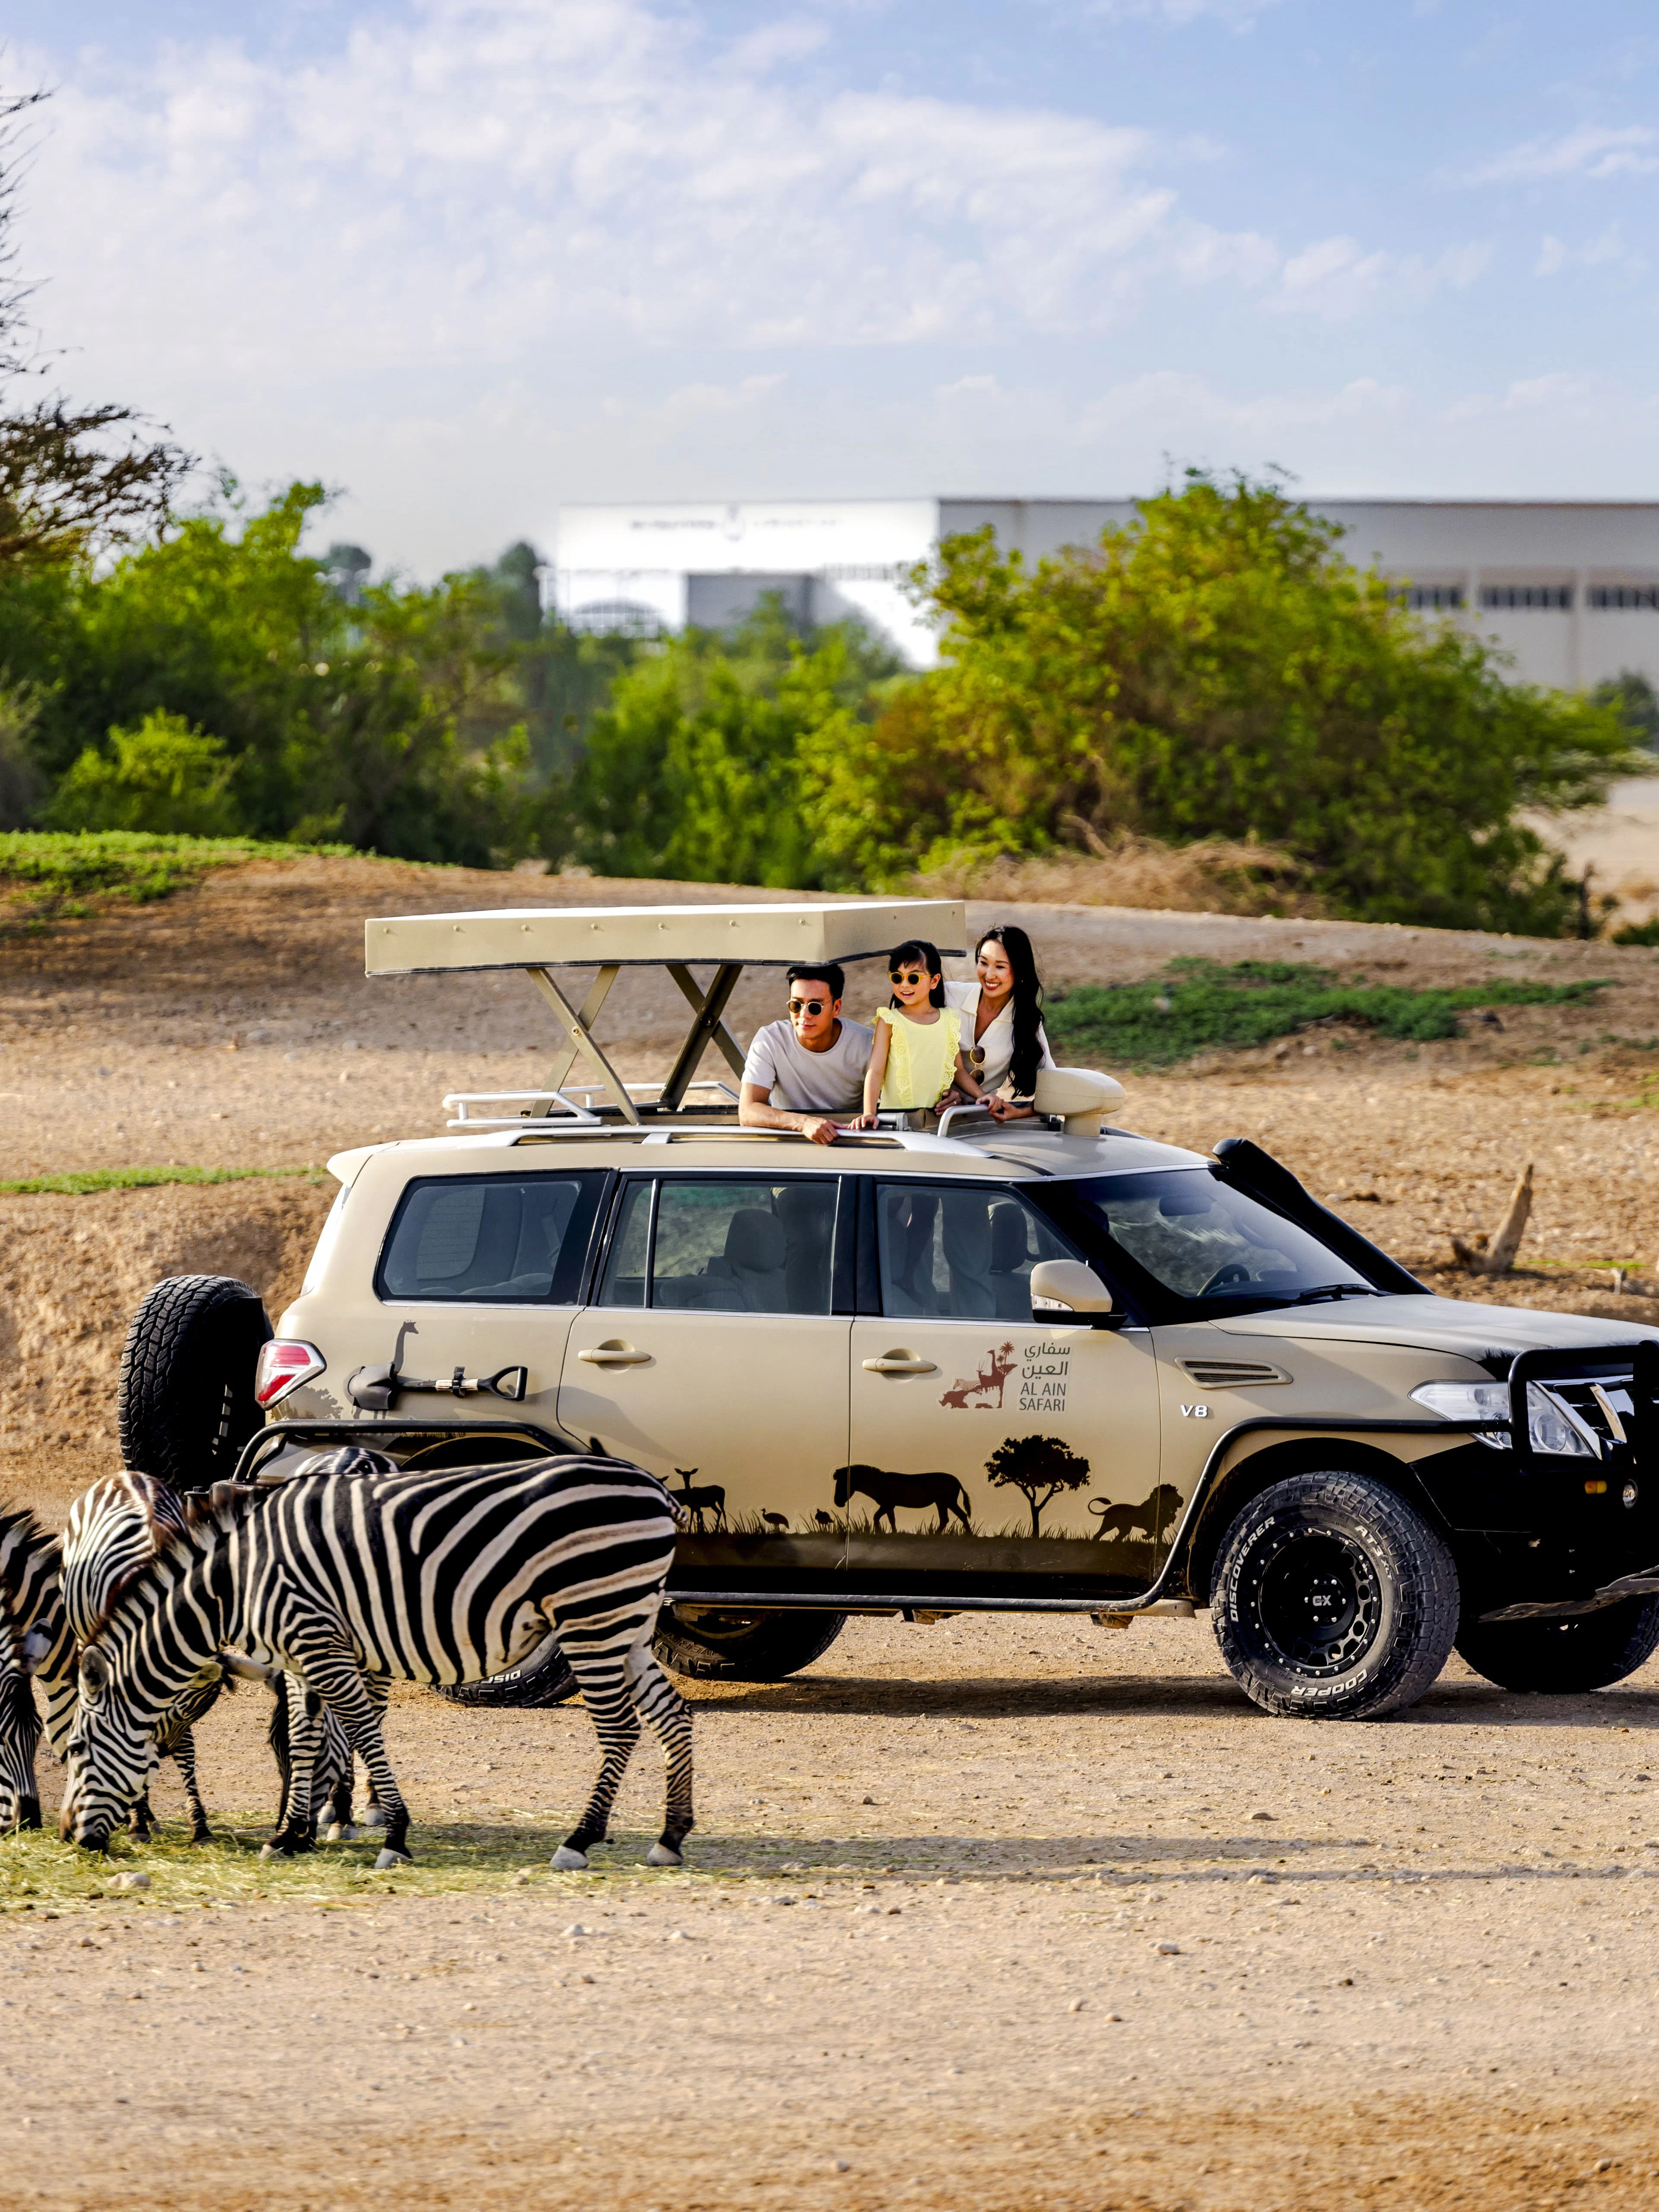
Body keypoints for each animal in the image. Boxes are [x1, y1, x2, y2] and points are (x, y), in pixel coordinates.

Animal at [61, 1450, 694, 1873]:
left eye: (76, 1750)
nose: (69, 1837)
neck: (235, 1584)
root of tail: (654, 1487)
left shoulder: (319, 1641)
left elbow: (362, 1731)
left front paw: (393, 1835)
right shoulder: (299, 1653)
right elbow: (305, 1739)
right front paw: (290, 1834)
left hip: (592, 1617)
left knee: (620, 1728)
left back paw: (579, 1840)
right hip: (629, 1621)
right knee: (672, 1715)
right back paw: (670, 1836)